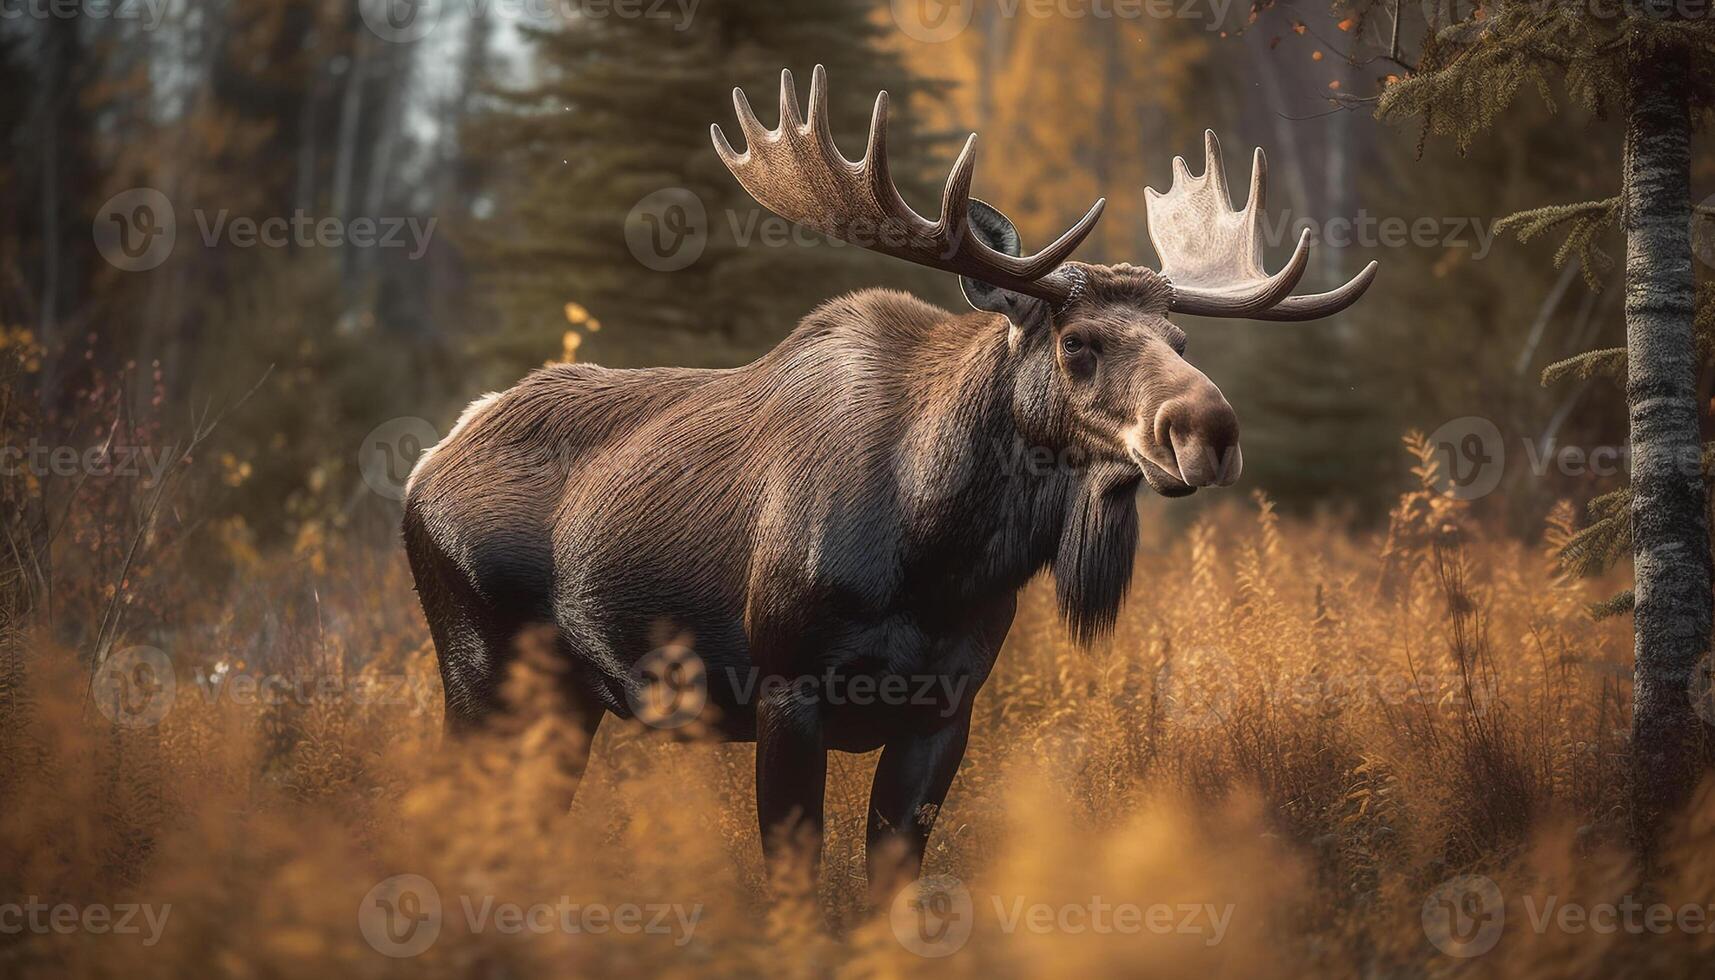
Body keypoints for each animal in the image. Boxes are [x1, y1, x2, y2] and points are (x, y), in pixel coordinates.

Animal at [397, 63, 1365, 906]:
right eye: (1077, 341)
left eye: (1180, 340)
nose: (1209, 430)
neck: (937, 556)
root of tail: (428, 458)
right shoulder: (786, 688)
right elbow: (792, 883)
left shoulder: (946, 708)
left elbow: (889, 886)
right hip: (475, 661)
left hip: (561, 699)